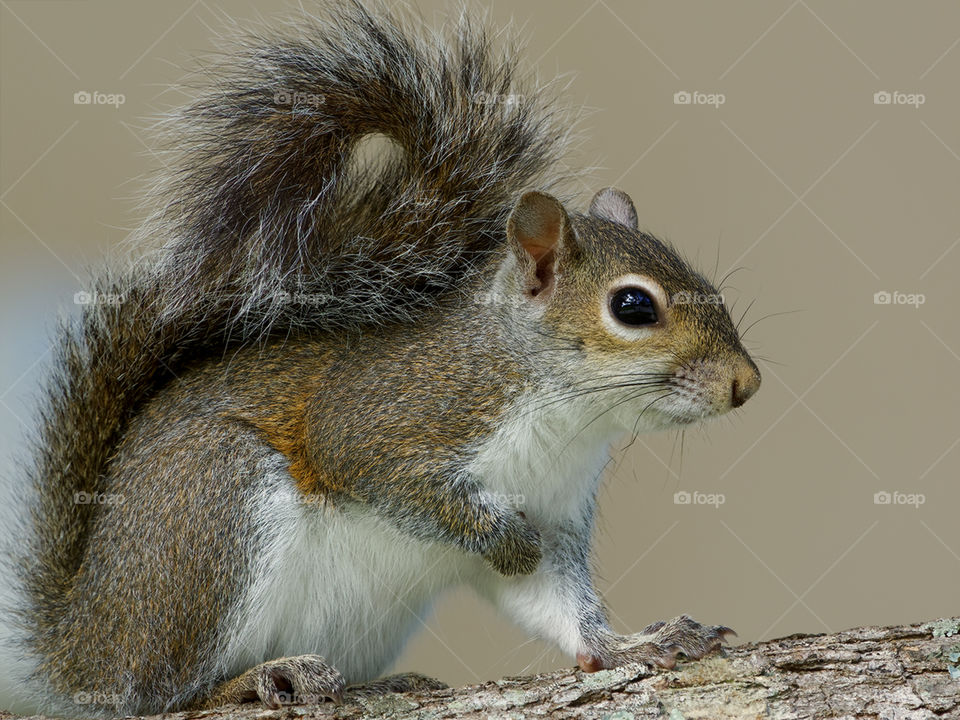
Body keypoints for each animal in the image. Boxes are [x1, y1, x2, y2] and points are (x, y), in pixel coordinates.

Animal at [0, 1, 761, 716]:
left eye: (708, 284)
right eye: (633, 307)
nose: (746, 383)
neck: (563, 413)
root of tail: (80, 645)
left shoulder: (557, 508)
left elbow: (560, 606)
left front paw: (637, 643)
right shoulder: (397, 410)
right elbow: (371, 465)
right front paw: (499, 538)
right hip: (212, 514)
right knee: (161, 693)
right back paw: (259, 678)